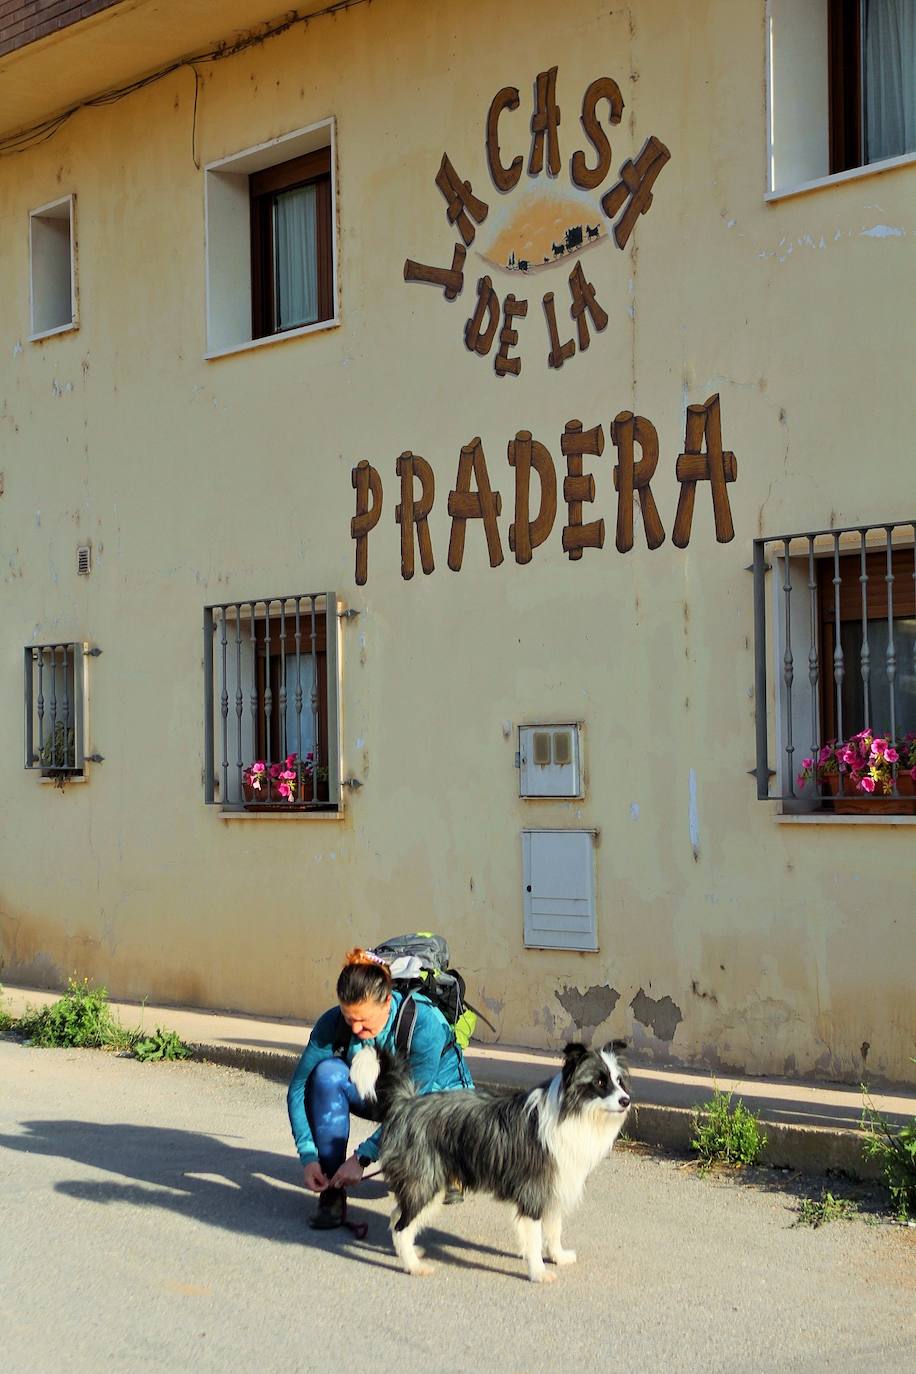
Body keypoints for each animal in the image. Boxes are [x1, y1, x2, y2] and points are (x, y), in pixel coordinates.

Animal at [351, 1044, 631, 1280]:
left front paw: (558, 1257)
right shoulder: (533, 1191)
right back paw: (413, 1266)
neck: (572, 1113)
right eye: (599, 1081)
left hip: (428, 1185)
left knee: (397, 1216)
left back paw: (410, 1252)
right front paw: (538, 1272)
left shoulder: (554, 1188)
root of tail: (405, 1103)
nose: (626, 1100)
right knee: (401, 1225)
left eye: (619, 1081)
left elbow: (553, 1229)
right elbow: (535, 1235)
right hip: (423, 1182)